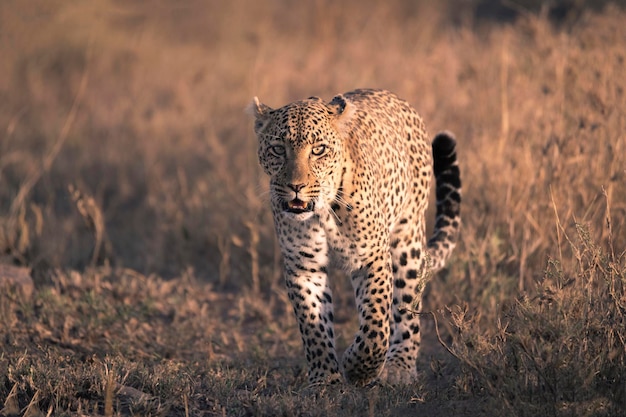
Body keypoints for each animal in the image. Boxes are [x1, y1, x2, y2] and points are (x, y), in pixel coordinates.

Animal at [247, 89, 458, 386]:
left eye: (319, 150)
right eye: (278, 149)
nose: (296, 187)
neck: (322, 212)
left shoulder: (372, 257)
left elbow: (375, 323)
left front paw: (358, 369)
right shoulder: (304, 267)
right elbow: (313, 326)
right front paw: (324, 378)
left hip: (408, 238)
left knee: (407, 307)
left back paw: (400, 365)